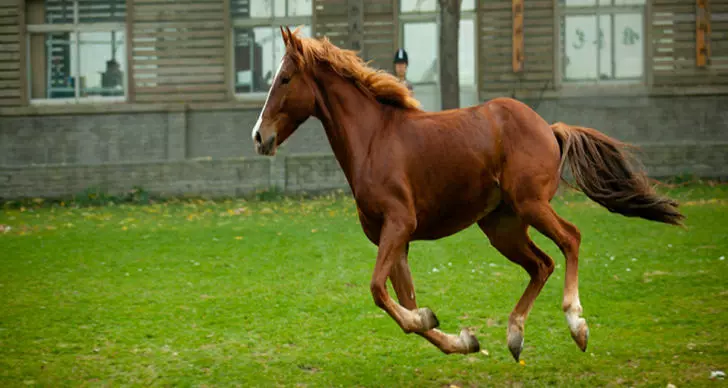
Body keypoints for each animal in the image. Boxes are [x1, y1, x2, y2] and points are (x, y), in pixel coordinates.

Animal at [250, 27, 684, 360]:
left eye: (285, 79)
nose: (259, 136)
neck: (373, 140)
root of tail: (549, 128)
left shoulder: (399, 224)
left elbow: (378, 291)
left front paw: (438, 323)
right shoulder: (397, 241)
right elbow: (405, 304)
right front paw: (461, 338)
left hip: (530, 205)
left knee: (570, 240)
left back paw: (577, 325)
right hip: (501, 226)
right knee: (541, 264)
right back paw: (514, 336)